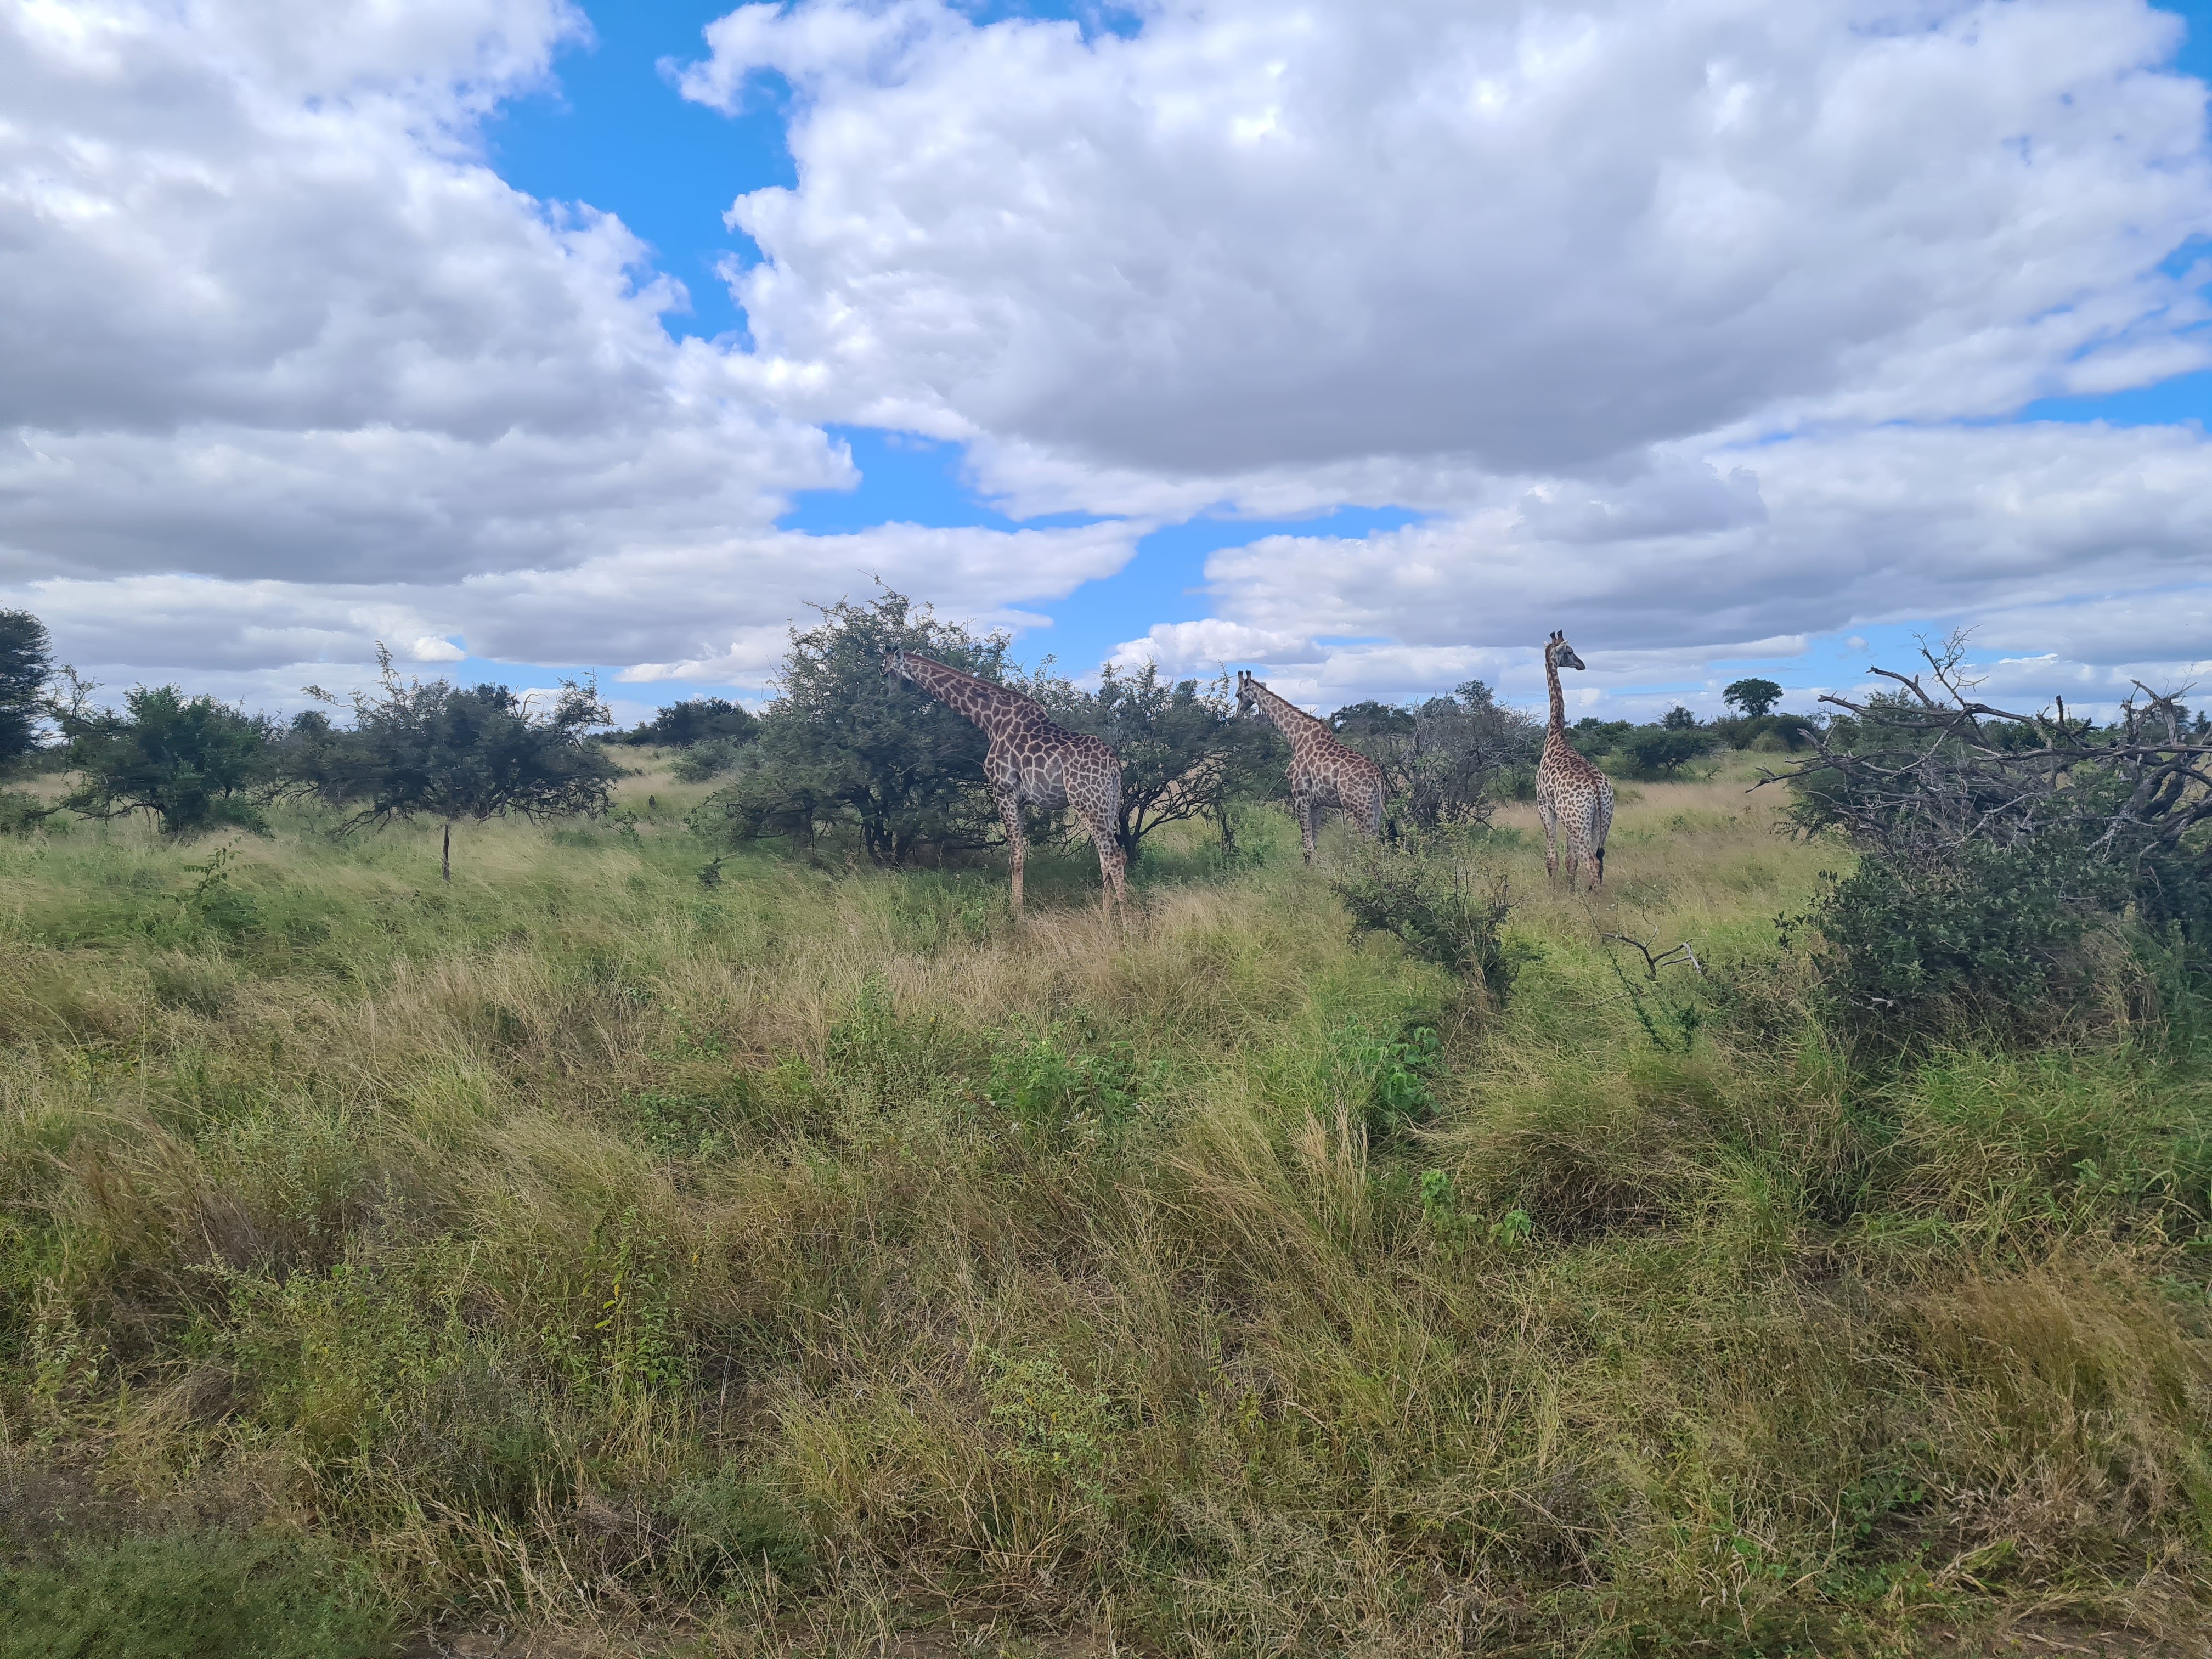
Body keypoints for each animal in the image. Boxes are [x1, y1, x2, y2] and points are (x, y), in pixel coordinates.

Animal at [884, 647, 1127, 913]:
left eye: (886, 671)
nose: (889, 697)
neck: (991, 721)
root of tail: (1114, 766)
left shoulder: (1004, 791)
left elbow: (1014, 857)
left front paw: (1016, 911)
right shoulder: (1021, 801)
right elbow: (1019, 854)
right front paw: (1018, 905)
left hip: (1088, 802)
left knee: (1114, 856)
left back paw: (1127, 915)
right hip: (1108, 805)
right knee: (1105, 856)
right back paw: (1106, 913)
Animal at [1234, 671, 1389, 865]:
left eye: (1238, 694)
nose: (1237, 715)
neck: (1295, 735)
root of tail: (1377, 776)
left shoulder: (1300, 795)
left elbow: (1307, 844)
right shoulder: (1317, 803)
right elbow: (1313, 842)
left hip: (1358, 806)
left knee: (1370, 843)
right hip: (1375, 807)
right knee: (1377, 842)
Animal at [1535, 629, 1615, 890]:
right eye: (1570, 652)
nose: (1581, 664)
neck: (1556, 735)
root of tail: (1598, 790)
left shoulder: (1544, 804)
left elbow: (1553, 858)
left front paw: (1554, 891)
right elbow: (1571, 860)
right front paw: (1571, 891)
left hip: (1577, 821)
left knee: (1591, 861)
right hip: (1601, 819)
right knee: (1599, 858)